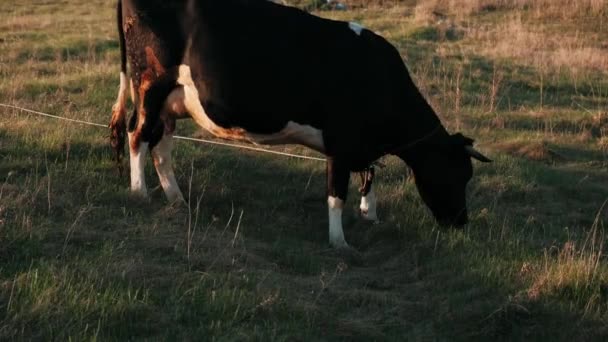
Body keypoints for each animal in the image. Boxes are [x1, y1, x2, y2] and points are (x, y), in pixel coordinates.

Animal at [108, 0, 490, 251]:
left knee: (161, 146)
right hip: (150, 84)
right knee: (138, 136)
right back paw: (140, 192)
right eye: (456, 173)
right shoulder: (340, 144)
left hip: (172, 103)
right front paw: (339, 242)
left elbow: (368, 176)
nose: (461, 222)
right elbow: (336, 194)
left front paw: (369, 214)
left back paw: (176, 198)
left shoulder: (359, 146)